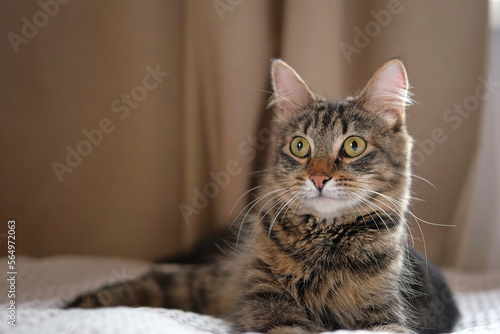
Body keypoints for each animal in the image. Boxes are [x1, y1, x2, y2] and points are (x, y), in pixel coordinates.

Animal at [67, 58, 460, 332]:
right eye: (300, 146)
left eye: (353, 146)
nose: (318, 178)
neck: (324, 242)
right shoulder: (267, 301)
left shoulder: (384, 314)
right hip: (218, 282)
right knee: (155, 281)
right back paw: (78, 304)